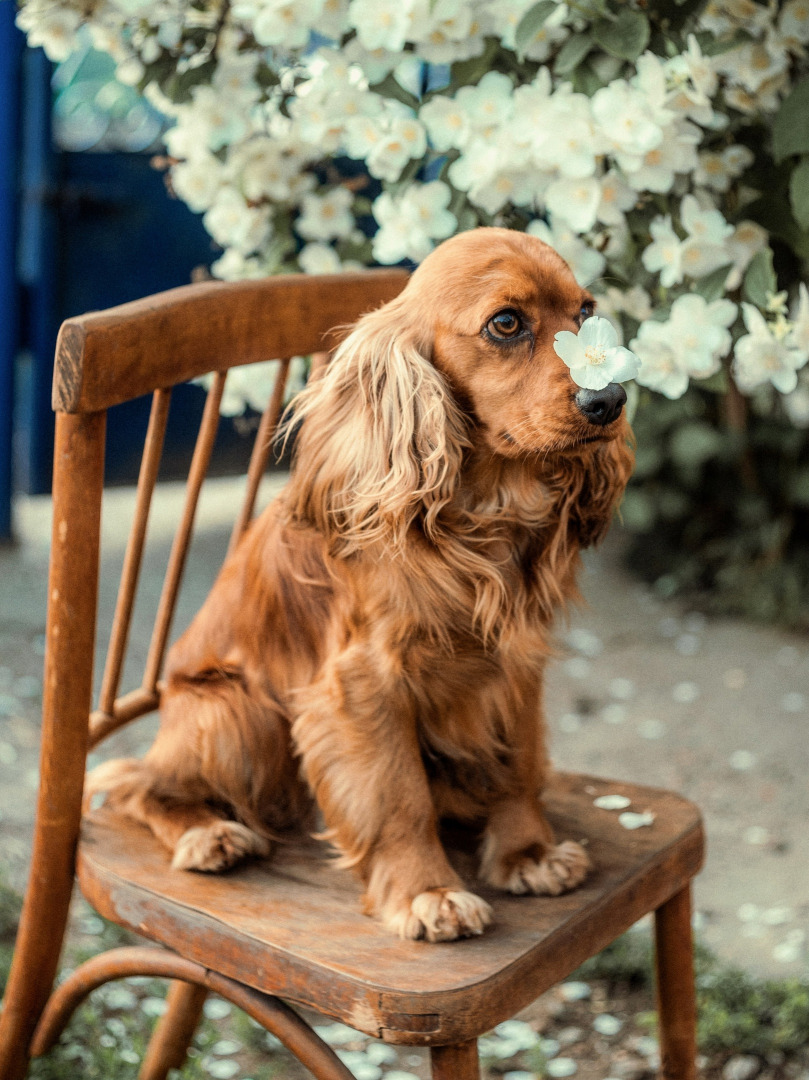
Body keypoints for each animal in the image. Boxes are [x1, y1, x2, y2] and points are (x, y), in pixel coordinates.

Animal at [86, 230, 630, 946]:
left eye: (586, 311)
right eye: (506, 323)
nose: (610, 402)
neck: (482, 510)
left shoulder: (516, 658)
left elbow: (515, 764)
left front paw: (527, 853)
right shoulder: (361, 684)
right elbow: (399, 797)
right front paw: (428, 893)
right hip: (236, 712)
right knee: (136, 781)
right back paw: (208, 833)